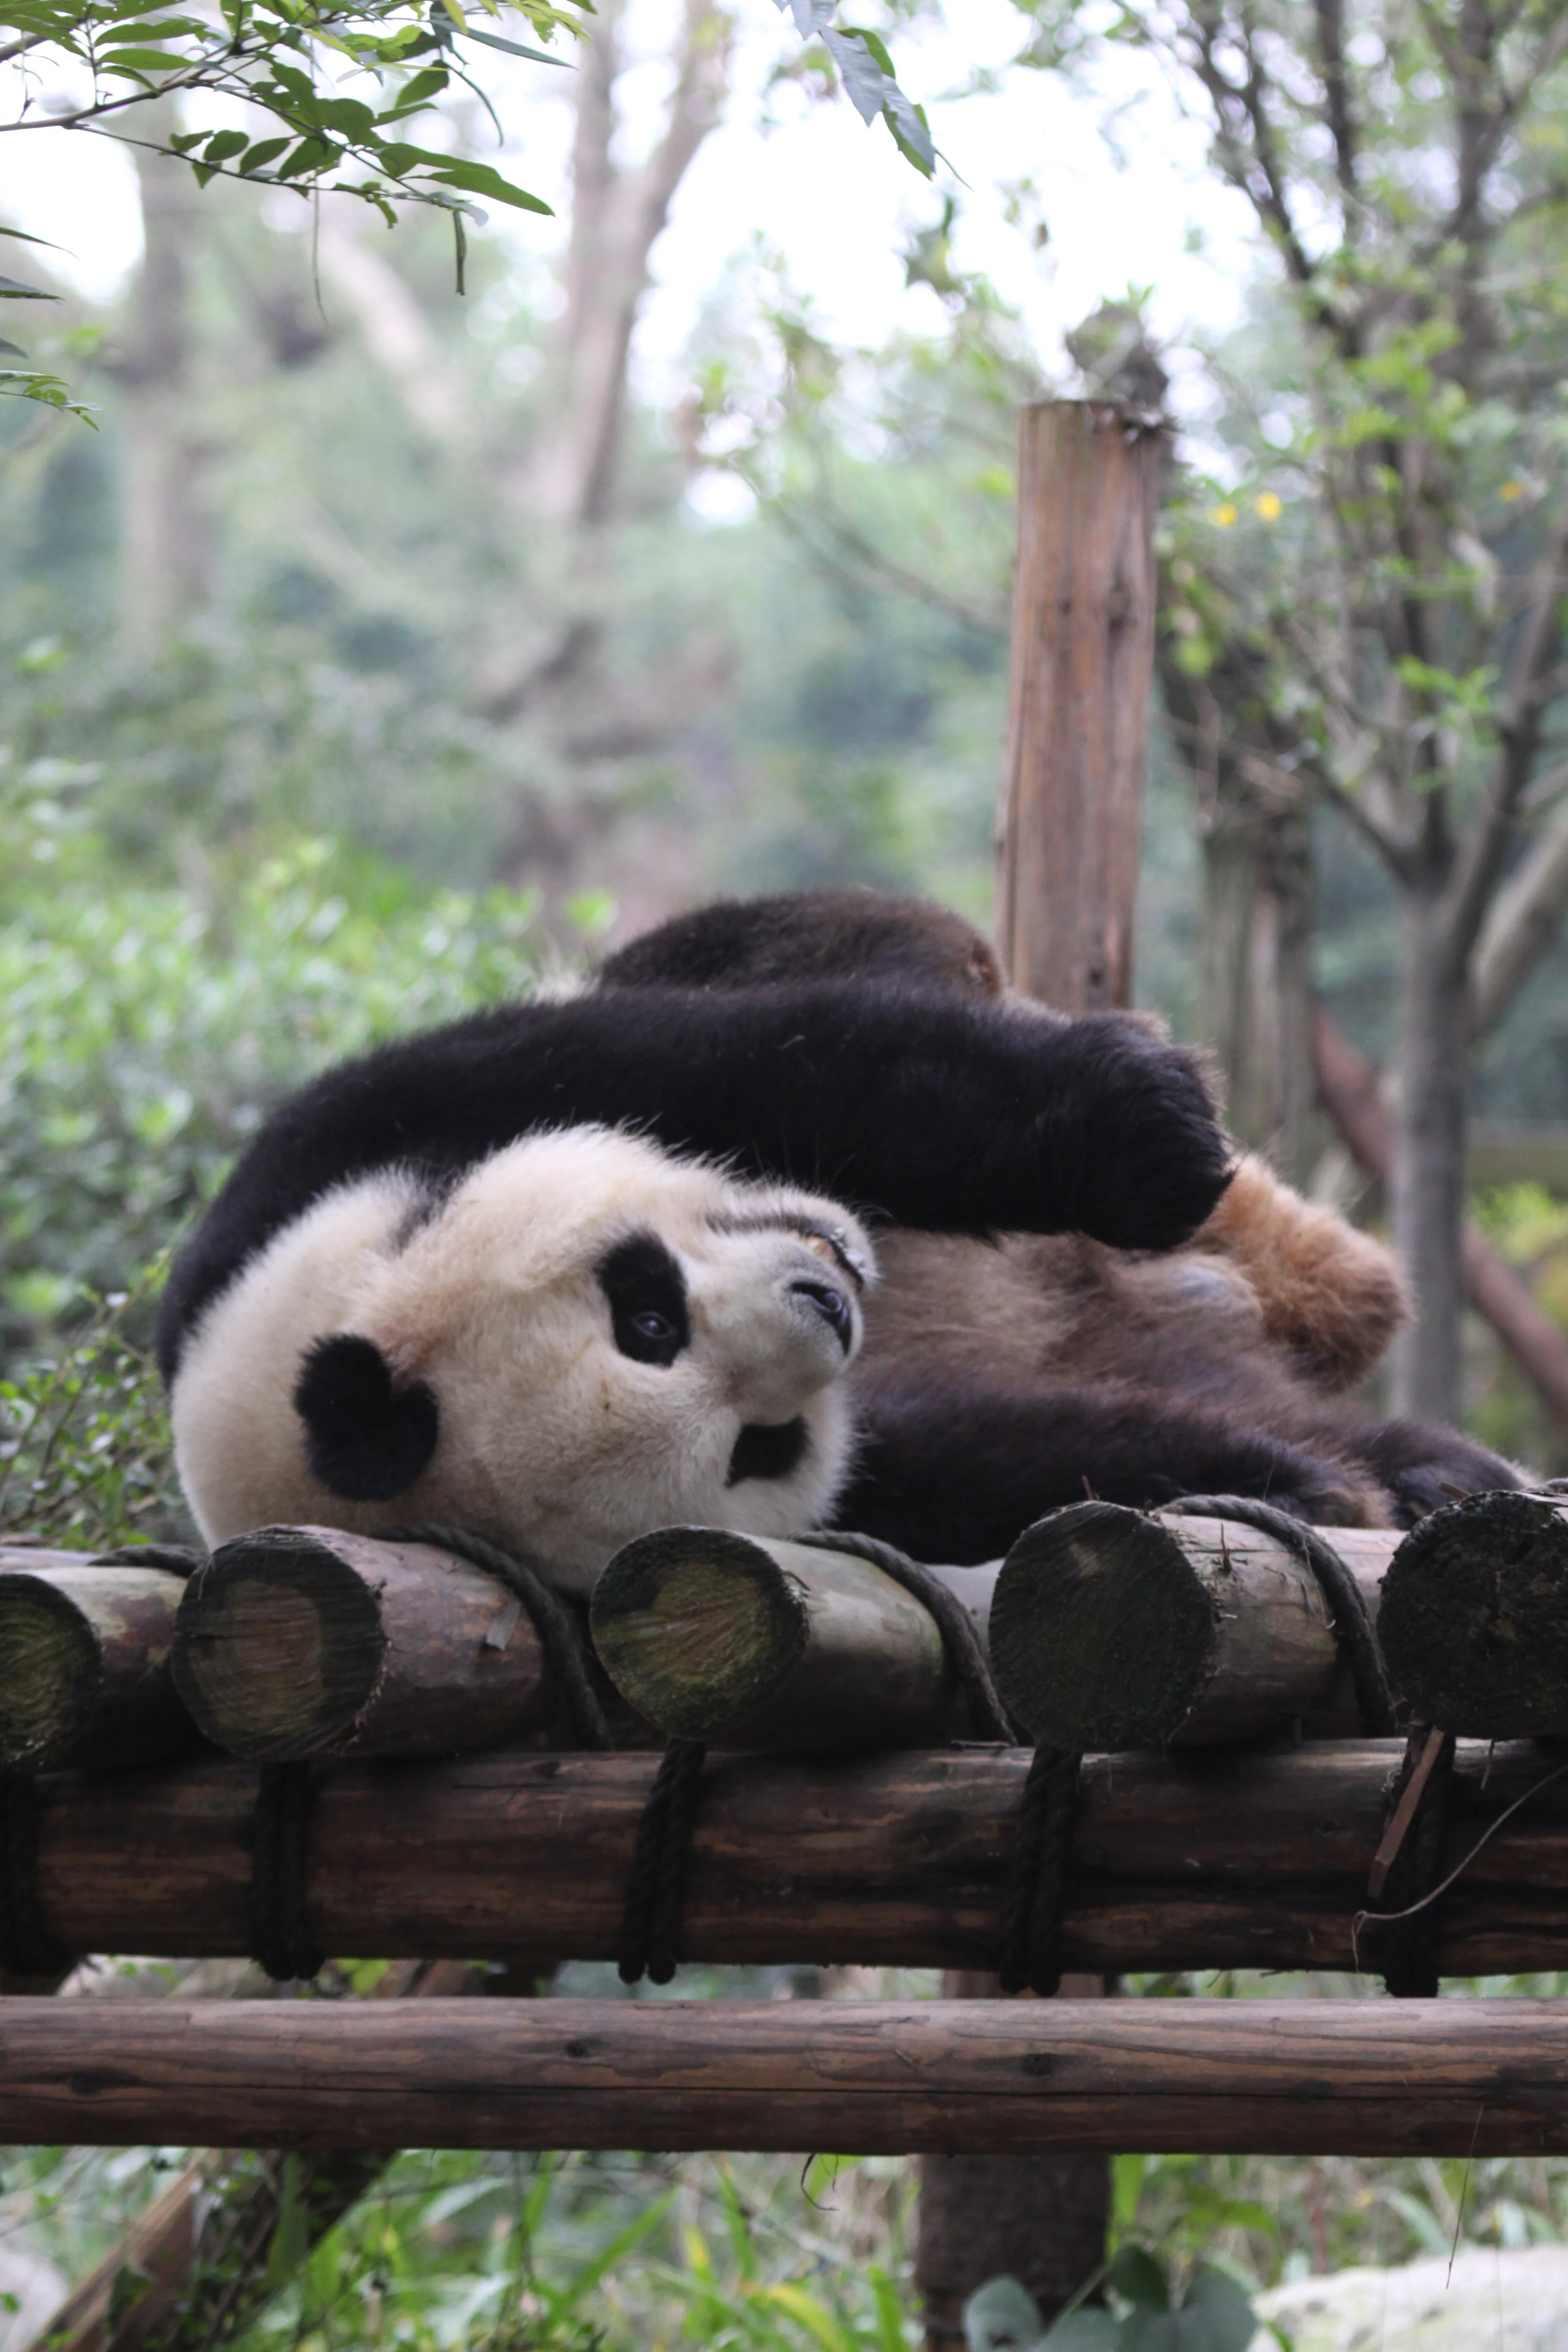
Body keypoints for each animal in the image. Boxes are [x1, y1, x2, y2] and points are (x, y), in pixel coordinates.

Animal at [159, 902, 1518, 1579]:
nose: (830, 1304)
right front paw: (1301, 1481)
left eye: (644, 1310)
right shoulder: (889, 1457)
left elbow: (788, 1061)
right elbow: (984, 1452)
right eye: (754, 1446)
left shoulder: (365, 1124)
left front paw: (1145, 1131)